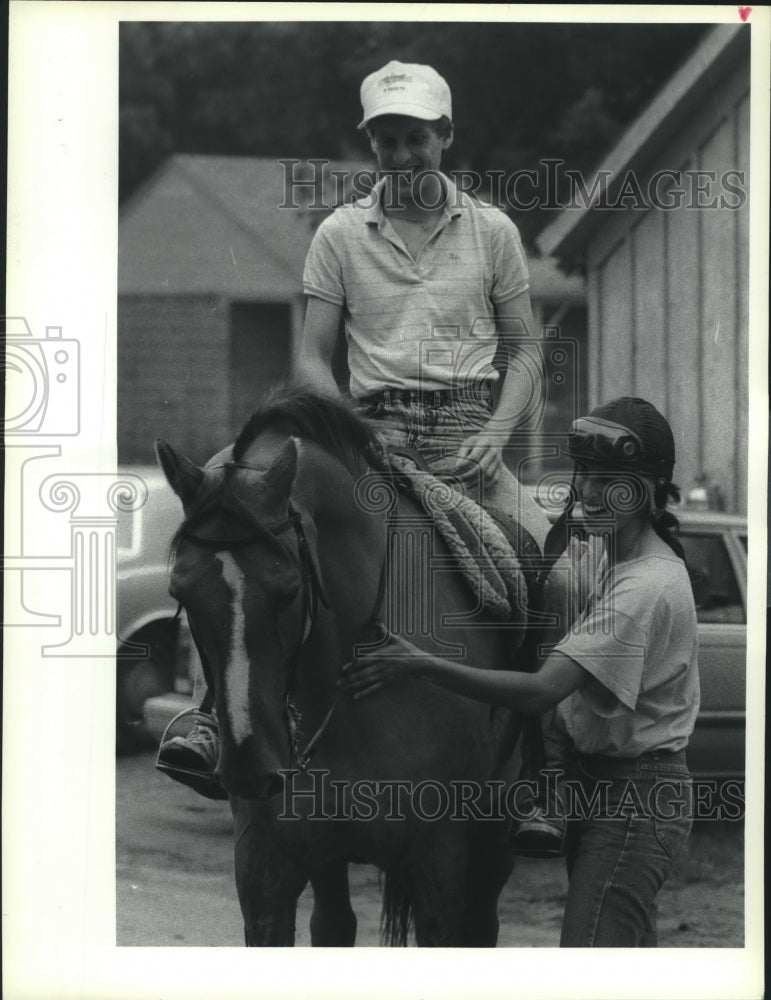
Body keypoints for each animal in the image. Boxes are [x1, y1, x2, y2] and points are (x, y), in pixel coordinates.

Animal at [157, 386, 548, 948]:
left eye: (289, 588)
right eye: (181, 591)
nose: (251, 766)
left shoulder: (438, 863)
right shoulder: (263, 864)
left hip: (492, 842)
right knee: (334, 923)